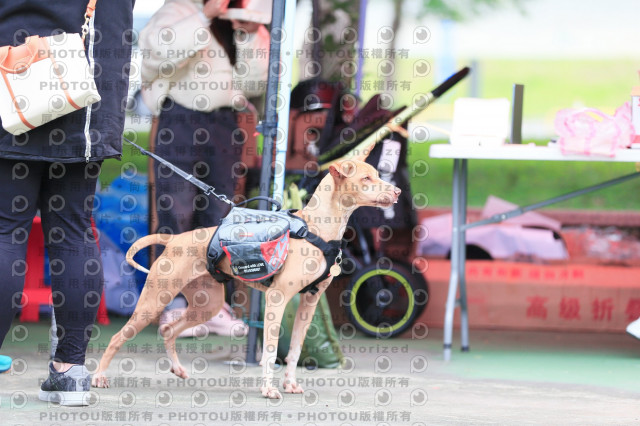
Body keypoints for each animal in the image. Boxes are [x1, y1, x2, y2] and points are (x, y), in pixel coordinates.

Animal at [91, 153, 400, 399]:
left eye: (377, 175)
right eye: (366, 178)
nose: (397, 191)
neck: (316, 230)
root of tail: (174, 238)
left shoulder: (309, 303)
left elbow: (295, 349)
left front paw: (290, 384)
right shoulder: (277, 298)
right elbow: (271, 351)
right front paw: (269, 389)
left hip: (207, 305)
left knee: (168, 330)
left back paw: (177, 369)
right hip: (153, 301)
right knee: (118, 337)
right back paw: (98, 377)